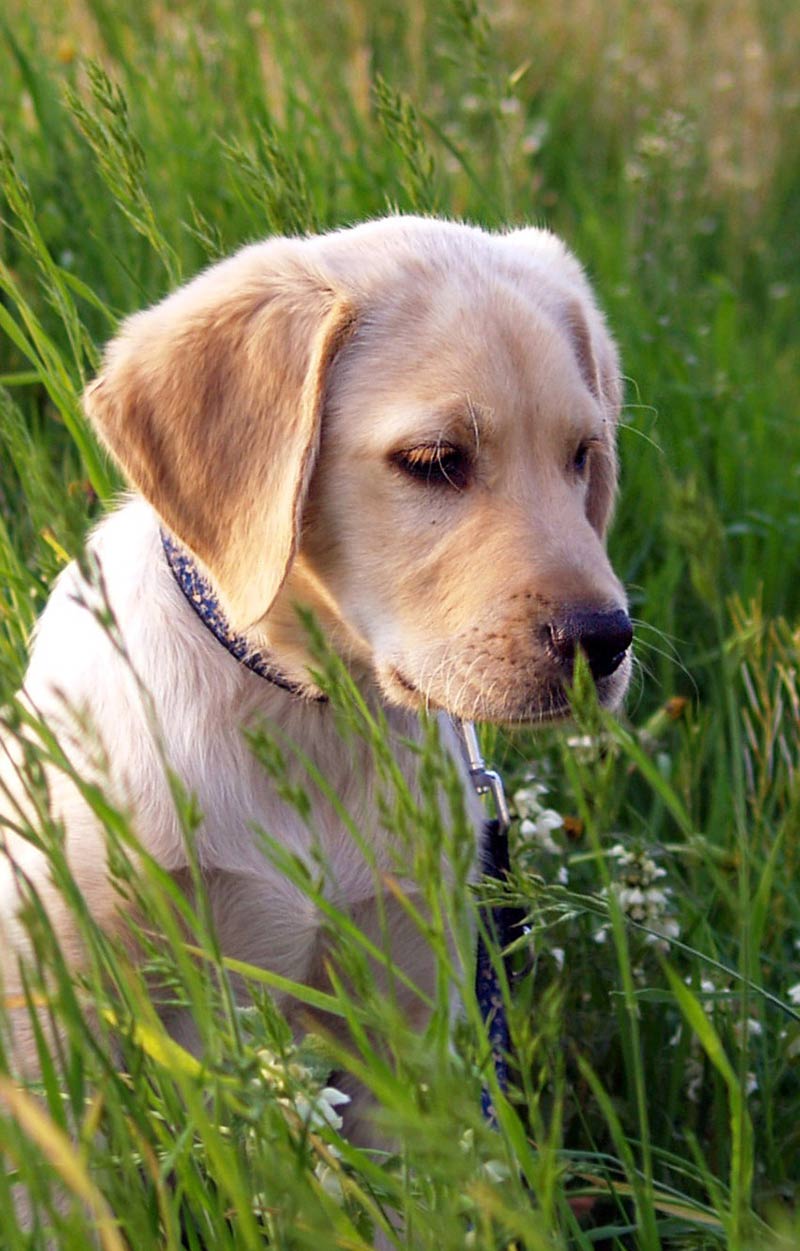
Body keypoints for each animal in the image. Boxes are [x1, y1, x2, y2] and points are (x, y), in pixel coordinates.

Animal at [0, 222, 635, 1125]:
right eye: (434, 459)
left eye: (583, 455)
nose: (604, 640)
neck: (310, 708)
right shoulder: (59, 1008)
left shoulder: (412, 1027)